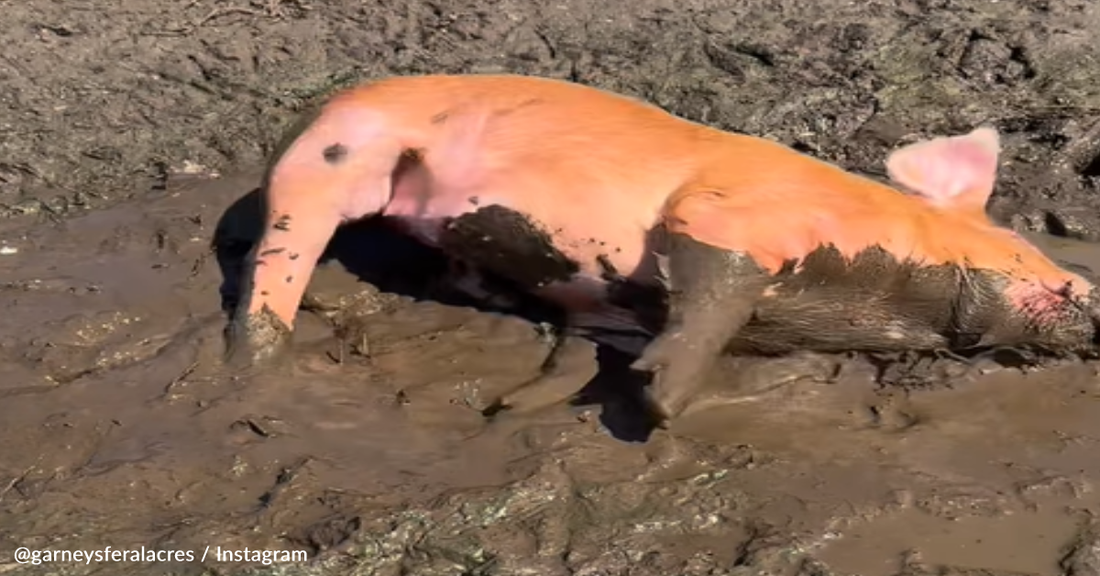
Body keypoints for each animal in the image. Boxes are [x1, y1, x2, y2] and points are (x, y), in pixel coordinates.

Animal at [225, 72, 1100, 424]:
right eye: (1064, 284)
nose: (1094, 303)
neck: (878, 299)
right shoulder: (729, 218)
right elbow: (713, 296)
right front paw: (665, 406)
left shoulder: (605, 310)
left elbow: (582, 348)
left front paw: (512, 406)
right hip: (335, 158)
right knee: (279, 260)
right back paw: (256, 366)